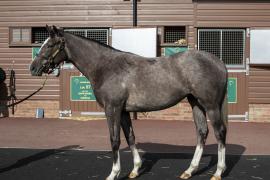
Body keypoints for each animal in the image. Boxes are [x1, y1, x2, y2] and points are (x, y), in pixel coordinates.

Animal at [29, 25, 228, 180]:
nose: (33, 68)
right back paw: (189, 171)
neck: (105, 67)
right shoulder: (123, 111)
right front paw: (135, 170)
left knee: (220, 132)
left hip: (210, 105)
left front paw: (114, 173)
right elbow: (130, 136)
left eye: (50, 44)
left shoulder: (112, 109)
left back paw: (218, 172)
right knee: (202, 132)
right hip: (196, 103)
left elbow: (114, 139)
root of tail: (219, 63)